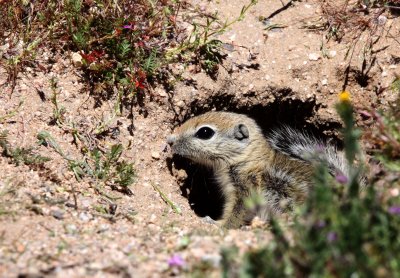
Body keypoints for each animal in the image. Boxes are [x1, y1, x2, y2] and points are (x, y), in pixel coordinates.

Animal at [167, 112, 348, 229]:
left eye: (205, 132)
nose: (170, 140)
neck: (248, 158)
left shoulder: (245, 189)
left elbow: (236, 213)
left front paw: (218, 224)